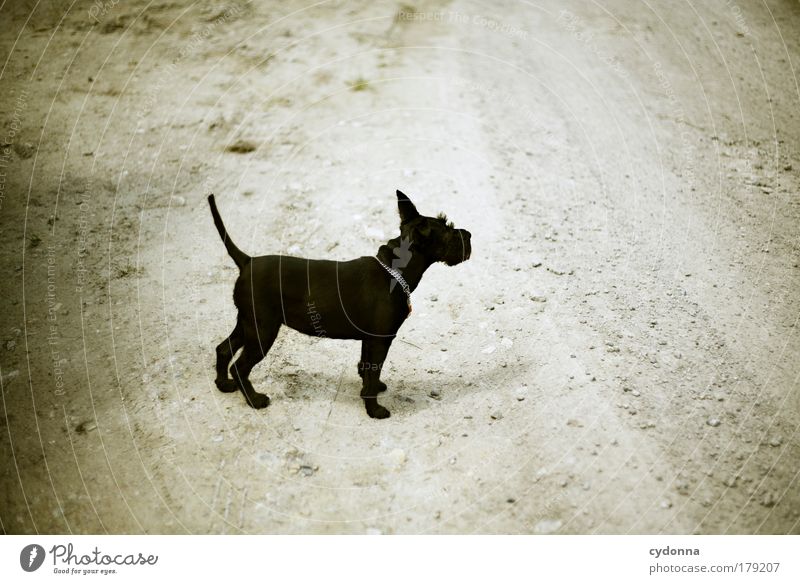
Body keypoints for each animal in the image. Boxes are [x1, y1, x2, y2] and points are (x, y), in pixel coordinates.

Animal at [209, 193, 472, 420]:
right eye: (447, 228)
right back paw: (254, 400)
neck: (394, 271)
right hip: (263, 331)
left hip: (248, 323)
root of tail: (247, 261)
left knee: (223, 349)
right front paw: (374, 410)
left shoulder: (369, 339)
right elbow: (372, 370)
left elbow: (366, 368)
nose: (469, 234)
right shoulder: (381, 339)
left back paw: (223, 385)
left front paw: (372, 390)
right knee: (240, 366)